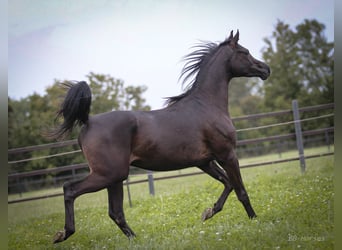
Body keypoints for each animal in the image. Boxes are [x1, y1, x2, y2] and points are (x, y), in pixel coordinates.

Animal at [52, 30, 270, 243]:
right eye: (244, 52)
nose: (266, 69)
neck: (206, 105)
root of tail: (87, 122)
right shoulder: (227, 155)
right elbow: (241, 191)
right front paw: (255, 221)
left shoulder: (205, 162)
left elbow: (228, 183)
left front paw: (208, 212)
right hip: (109, 174)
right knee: (70, 189)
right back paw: (63, 233)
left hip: (114, 178)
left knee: (115, 212)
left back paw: (135, 239)